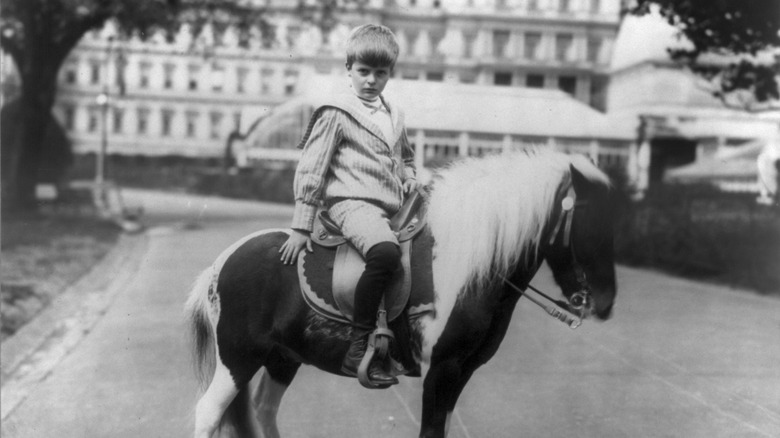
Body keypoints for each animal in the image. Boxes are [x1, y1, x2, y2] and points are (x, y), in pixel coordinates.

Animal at [186, 149, 620, 436]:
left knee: (264, 411)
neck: (467, 264)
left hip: (282, 358)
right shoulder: (441, 370)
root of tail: (219, 264)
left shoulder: (461, 372)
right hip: (238, 358)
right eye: (587, 222)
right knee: (207, 413)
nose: (604, 303)